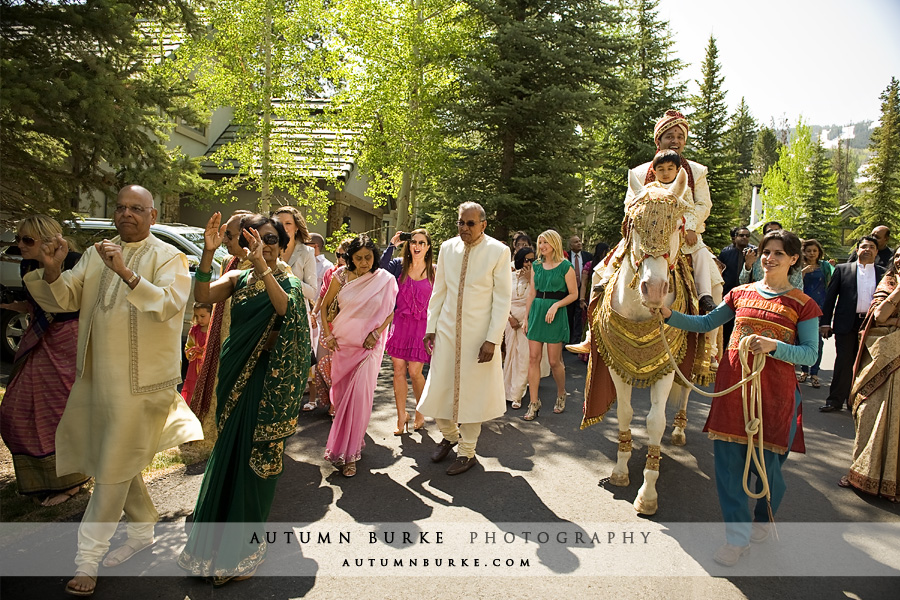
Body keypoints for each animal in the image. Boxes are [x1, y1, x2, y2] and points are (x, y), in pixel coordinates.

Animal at [584, 169, 712, 516]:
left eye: (678, 225)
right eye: (632, 223)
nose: (653, 289)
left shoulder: (666, 368)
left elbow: (655, 422)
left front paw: (648, 493)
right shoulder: (615, 366)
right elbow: (626, 414)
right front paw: (620, 471)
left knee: (684, 395)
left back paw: (679, 430)